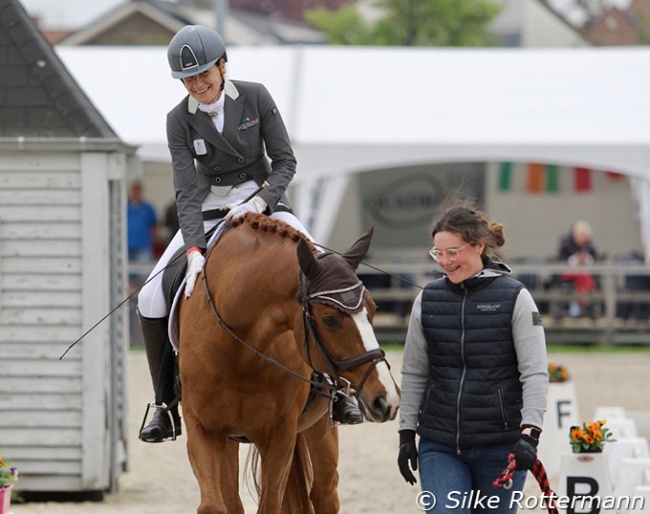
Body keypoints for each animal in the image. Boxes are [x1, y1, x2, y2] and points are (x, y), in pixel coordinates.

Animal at [177, 213, 400, 512]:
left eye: (374, 309)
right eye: (330, 320)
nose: (386, 398)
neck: (240, 349)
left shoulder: (279, 434)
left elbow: (271, 504)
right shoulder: (203, 429)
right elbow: (214, 505)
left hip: (320, 431)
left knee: (324, 494)